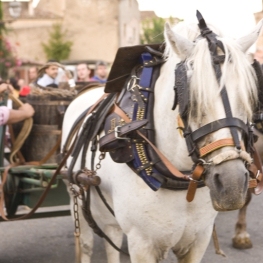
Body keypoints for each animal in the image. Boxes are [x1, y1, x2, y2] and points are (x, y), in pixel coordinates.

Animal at [61, 17, 263, 263]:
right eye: (191, 99)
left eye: (250, 96)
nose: (232, 184)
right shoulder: (141, 244)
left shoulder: (199, 240)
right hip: (77, 194)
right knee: (87, 244)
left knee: (112, 238)